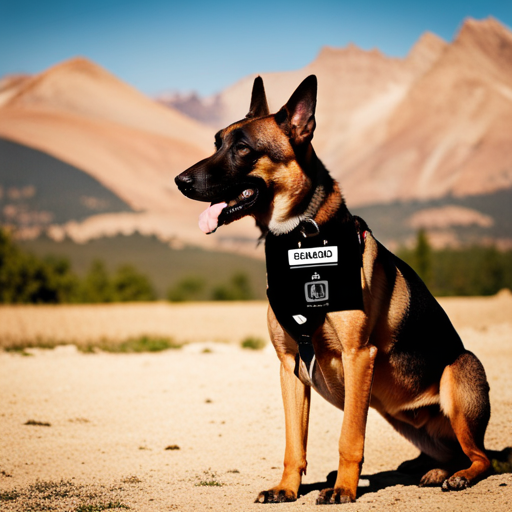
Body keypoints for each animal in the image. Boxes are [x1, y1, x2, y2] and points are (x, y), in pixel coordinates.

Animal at [176, 75, 492, 504]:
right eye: (217, 143)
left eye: (243, 149)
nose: (180, 181)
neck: (299, 242)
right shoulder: (290, 366)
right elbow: (294, 442)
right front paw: (287, 488)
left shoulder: (358, 356)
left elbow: (349, 438)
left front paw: (343, 488)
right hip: (392, 414)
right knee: (449, 454)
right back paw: (435, 470)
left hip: (458, 375)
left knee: (482, 457)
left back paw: (457, 476)